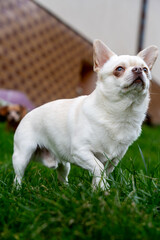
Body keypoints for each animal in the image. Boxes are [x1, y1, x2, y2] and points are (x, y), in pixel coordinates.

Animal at [11, 39, 158, 189]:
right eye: (119, 69)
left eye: (145, 69)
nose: (138, 69)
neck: (118, 113)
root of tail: (27, 114)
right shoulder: (81, 152)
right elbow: (98, 168)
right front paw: (103, 188)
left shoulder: (112, 161)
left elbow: (102, 173)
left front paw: (99, 190)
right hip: (23, 155)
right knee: (18, 176)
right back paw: (17, 189)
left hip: (64, 163)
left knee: (62, 174)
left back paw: (66, 189)